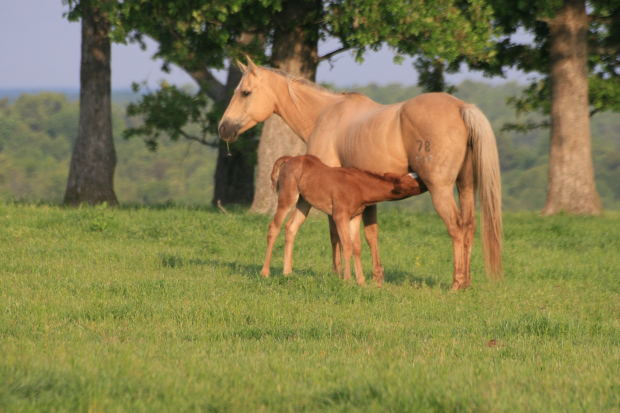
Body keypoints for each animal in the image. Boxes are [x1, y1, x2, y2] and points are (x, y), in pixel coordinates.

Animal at [258, 153, 426, 284]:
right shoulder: (340, 215)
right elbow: (346, 245)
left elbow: (356, 246)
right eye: (414, 182)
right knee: (274, 227)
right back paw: (265, 272)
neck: (360, 188)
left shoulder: (355, 216)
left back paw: (287, 272)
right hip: (288, 195)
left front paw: (361, 281)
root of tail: (290, 159)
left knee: (291, 228)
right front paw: (347, 279)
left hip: (304, 202)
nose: (426, 181)